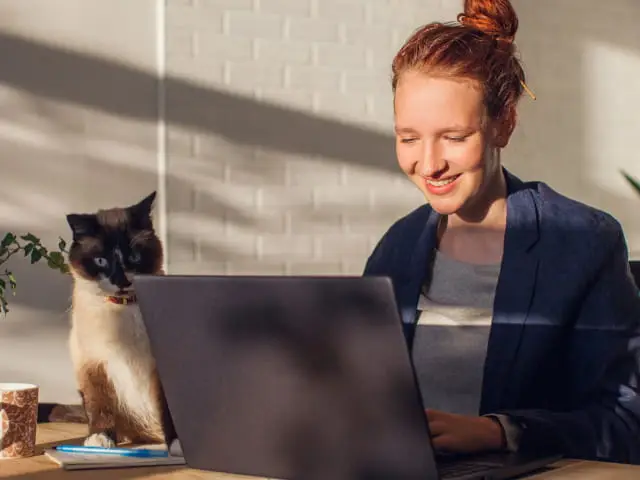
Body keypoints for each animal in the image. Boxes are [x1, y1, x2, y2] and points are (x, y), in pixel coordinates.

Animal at [63, 190, 172, 446]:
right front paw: (100, 439)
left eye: (134, 256)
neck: (121, 311)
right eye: (101, 261)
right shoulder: (94, 365)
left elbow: (167, 410)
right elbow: (100, 407)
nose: (121, 281)